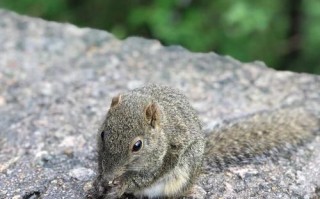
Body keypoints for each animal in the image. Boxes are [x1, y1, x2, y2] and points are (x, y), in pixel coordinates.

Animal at [90, 84, 320, 199]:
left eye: (137, 146)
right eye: (102, 134)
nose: (109, 177)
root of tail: (200, 166)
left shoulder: (168, 157)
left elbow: (146, 177)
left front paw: (121, 184)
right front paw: (99, 182)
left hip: (184, 173)